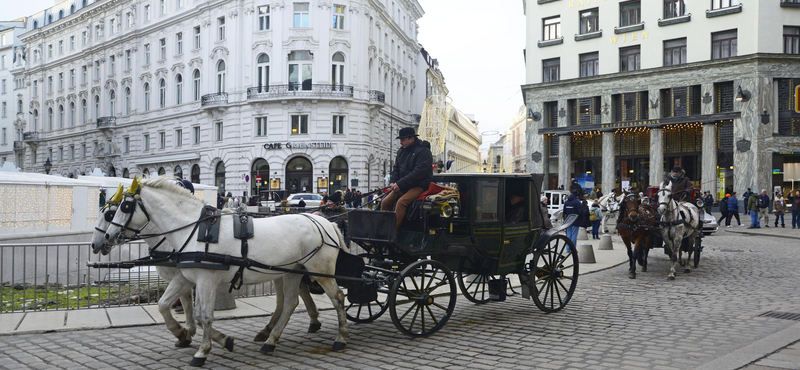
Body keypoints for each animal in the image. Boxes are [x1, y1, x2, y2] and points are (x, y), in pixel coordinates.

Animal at [103, 177, 346, 368]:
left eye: (124, 207)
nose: (107, 237)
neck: (195, 230)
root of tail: (324, 222)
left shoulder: (206, 280)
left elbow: (205, 316)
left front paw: (202, 352)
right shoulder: (192, 278)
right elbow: (185, 311)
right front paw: (214, 339)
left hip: (319, 270)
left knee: (337, 298)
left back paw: (340, 338)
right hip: (292, 271)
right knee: (290, 304)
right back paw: (271, 340)